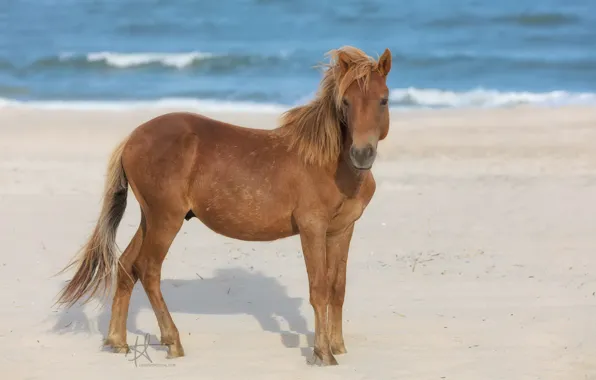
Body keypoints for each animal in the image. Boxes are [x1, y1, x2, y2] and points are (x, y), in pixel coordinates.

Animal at [54, 44, 392, 366]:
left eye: (383, 100)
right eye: (345, 102)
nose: (362, 154)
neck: (328, 163)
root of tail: (133, 138)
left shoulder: (341, 230)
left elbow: (337, 288)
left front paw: (337, 345)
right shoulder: (312, 228)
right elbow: (319, 289)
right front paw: (323, 353)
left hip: (149, 219)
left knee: (126, 266)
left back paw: (118, 341)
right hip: (166, 220)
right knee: (148, 270)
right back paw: (172, 341)